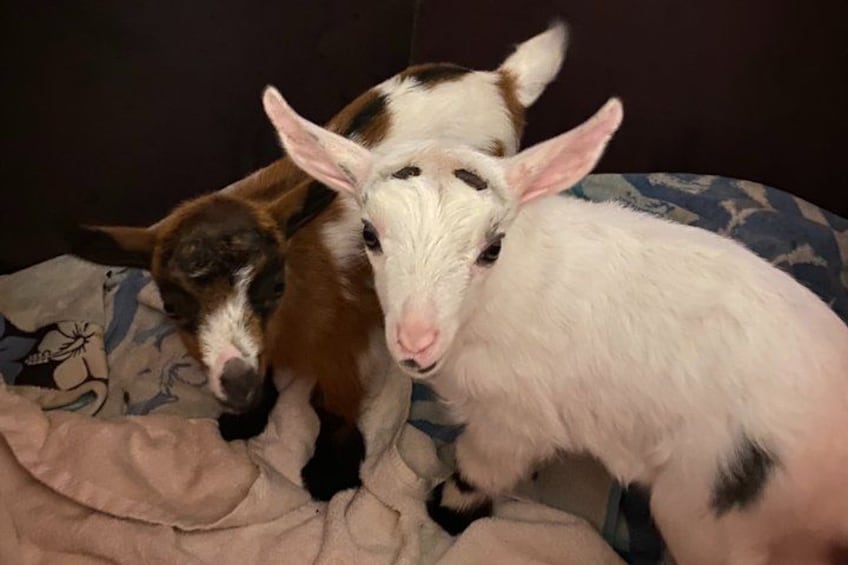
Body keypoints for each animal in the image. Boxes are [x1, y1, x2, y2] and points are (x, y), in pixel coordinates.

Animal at [68, 22, 568, 502]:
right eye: (172, 307)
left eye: (274, 285)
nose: (236, 385)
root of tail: (500, 80)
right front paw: (249, 416)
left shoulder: (346, 340)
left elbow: (331, 405)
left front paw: (330, 473)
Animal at [261, 85, 848, 563]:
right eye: (370, 235)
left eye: (491, 248)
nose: (415, 341)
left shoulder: (515, 418)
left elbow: (478, 467)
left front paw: (447, 512)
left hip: (707, 513)